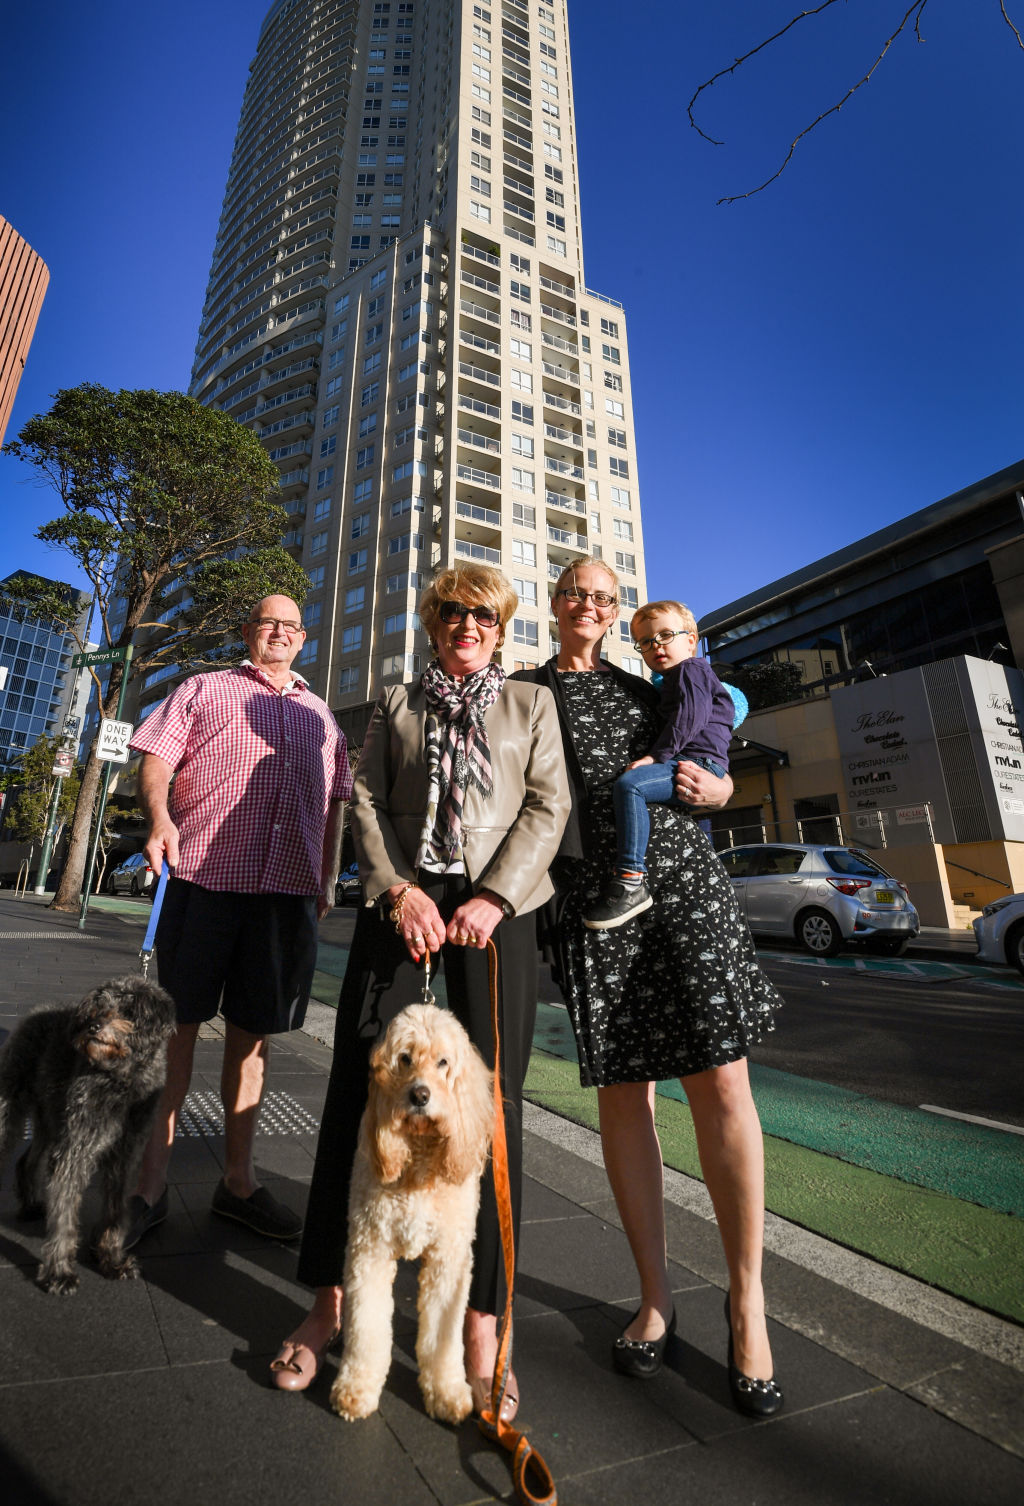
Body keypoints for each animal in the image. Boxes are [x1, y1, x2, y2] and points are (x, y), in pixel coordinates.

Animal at [0, 975, 174, 1295]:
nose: (93, 1026)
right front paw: (59, 1274)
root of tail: (34, 1013)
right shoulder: (74, 1153)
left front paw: (112, 1261)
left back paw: (30, 1206)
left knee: (27, 1161)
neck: (121, 1080)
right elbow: (64, 1217)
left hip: (51, 1120)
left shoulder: (124, 1158)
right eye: (97, 1006)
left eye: (128, 1008)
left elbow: (116, 1213)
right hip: (13, 1108)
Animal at [329, 999, 493, 1421]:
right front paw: (356, 1388)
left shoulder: (449, 1260)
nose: (420, 1095)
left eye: (443, 1062)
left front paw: (447, 1391)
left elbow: (444, 1336)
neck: (419, 1157)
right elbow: (366, 1325)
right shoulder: (369, 1249)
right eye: (404, 1058)